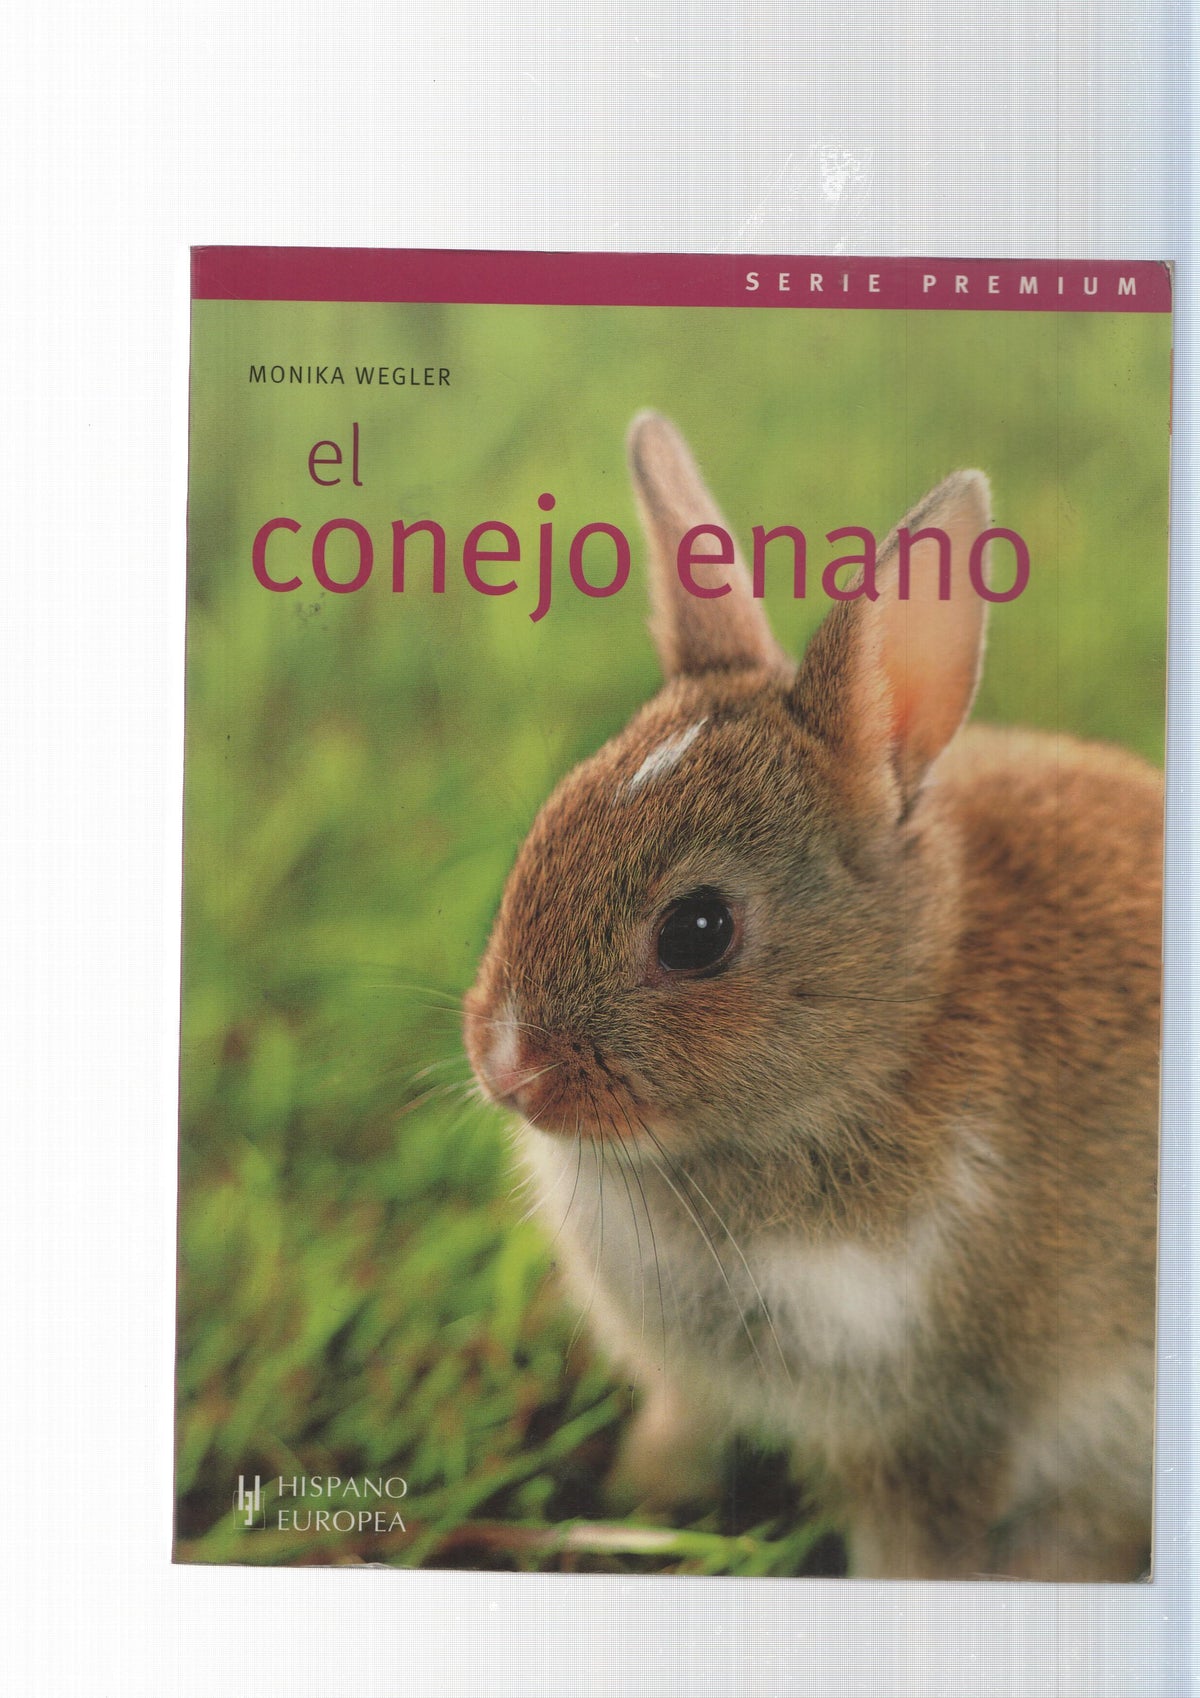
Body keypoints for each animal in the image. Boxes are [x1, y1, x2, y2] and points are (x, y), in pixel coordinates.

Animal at [463, 412, 1162, 1581]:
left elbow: (920, 1552)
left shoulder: (948, 1426)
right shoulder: (695, 1387)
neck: (886, 1049)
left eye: (698, 933)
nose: (508, 1069)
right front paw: (633, 1498)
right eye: (545, 831)